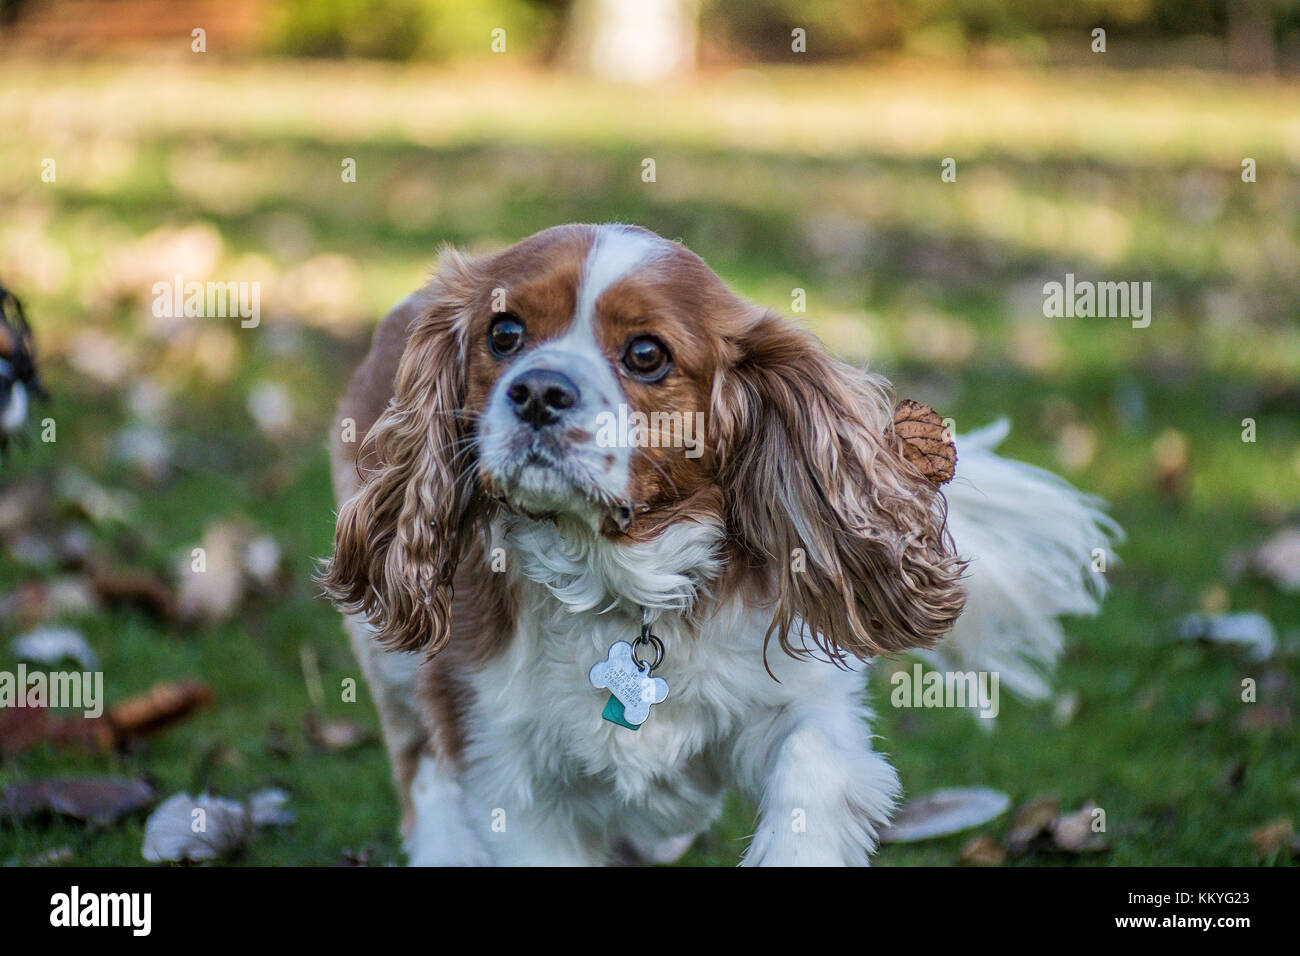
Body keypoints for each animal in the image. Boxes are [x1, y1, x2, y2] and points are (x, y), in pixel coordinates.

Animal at [317, 222, 1118, 868]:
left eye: (646, 354)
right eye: (504, 334)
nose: (537, 391)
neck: (619, 584)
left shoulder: (801, 702)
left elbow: (811, 771)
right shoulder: (509, 776)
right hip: (396, 671)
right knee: (422, 773)